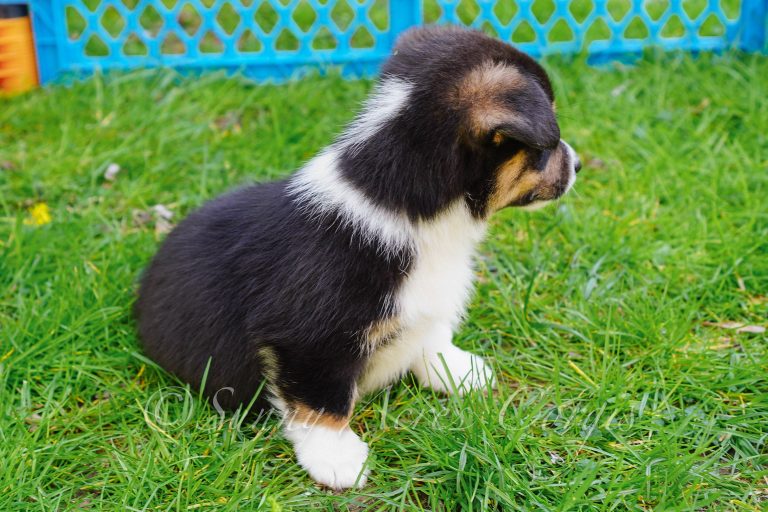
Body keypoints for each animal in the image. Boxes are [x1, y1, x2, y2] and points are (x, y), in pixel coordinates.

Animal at [135, 25, 581, 489]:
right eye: (546, 149)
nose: (580, 164)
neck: (406, 207)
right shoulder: (310, 339)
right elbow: (323, 398)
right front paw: (337, 458)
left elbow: (431, 335)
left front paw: (459, 371)